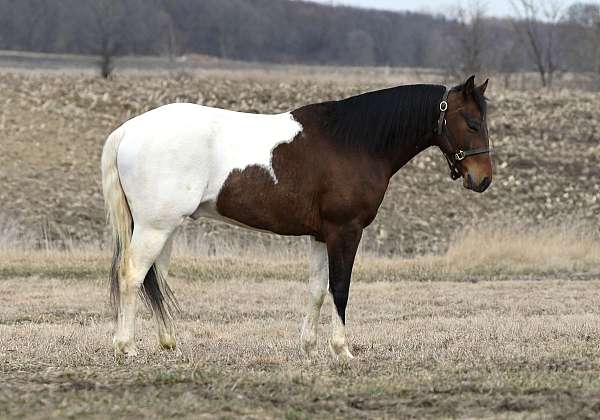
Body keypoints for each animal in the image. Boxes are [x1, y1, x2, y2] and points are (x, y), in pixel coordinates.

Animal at [101, 74, 490, 358]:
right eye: (471, 123)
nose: (483, 179)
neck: (353, 143)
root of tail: (128, 131)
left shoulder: (320, 235)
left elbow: (317, 289)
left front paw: (309, 347)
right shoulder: (345, 231)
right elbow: (340, 288)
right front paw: (342, 350)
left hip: (164, 228)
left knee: (155, 280)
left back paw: (169, 343)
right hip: (154, 227)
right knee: (132, 275)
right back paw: (126, 347)